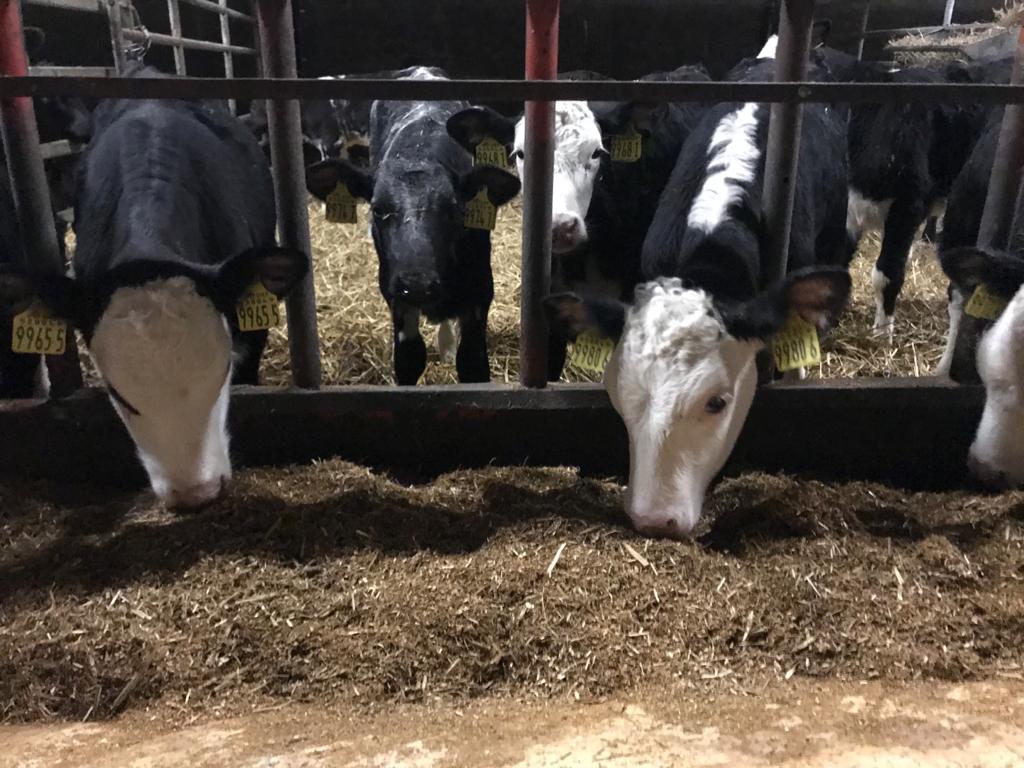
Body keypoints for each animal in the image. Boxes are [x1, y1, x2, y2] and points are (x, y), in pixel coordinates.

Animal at [304, 67, 521, 385]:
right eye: (378, 210)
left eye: (454, 210)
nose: (417, 283)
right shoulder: (396, 297)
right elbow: (409, 359)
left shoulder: (480, 292)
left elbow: (472, 364)